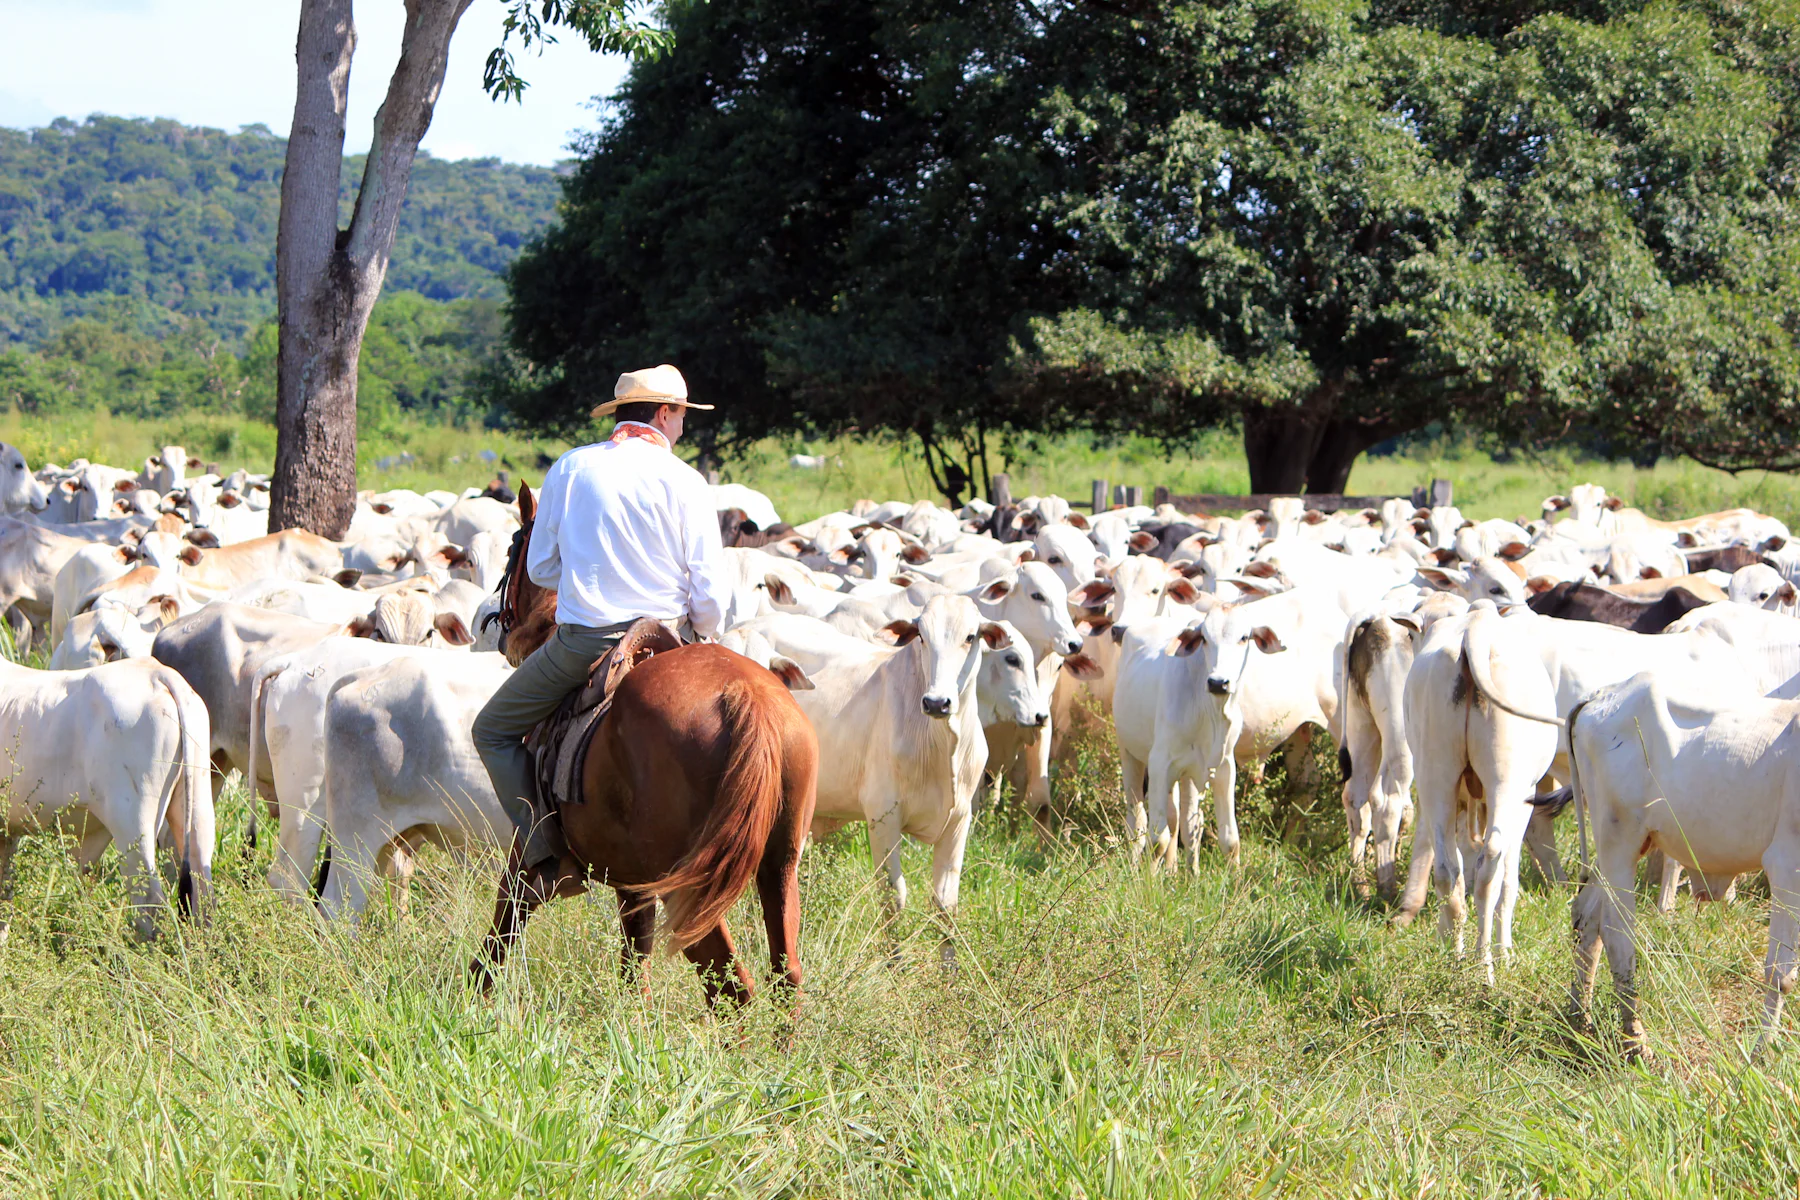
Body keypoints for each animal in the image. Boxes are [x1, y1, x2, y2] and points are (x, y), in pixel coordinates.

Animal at [470, 483, 819, 1011]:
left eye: (513, 549)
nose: (501, 629)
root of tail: (747, 696)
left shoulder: (525, 855)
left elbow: (501, 933)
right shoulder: (634, 885)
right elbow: (635, 965)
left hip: (691, 887)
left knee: (732, 986)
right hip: (778, 867)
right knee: (784, 976)